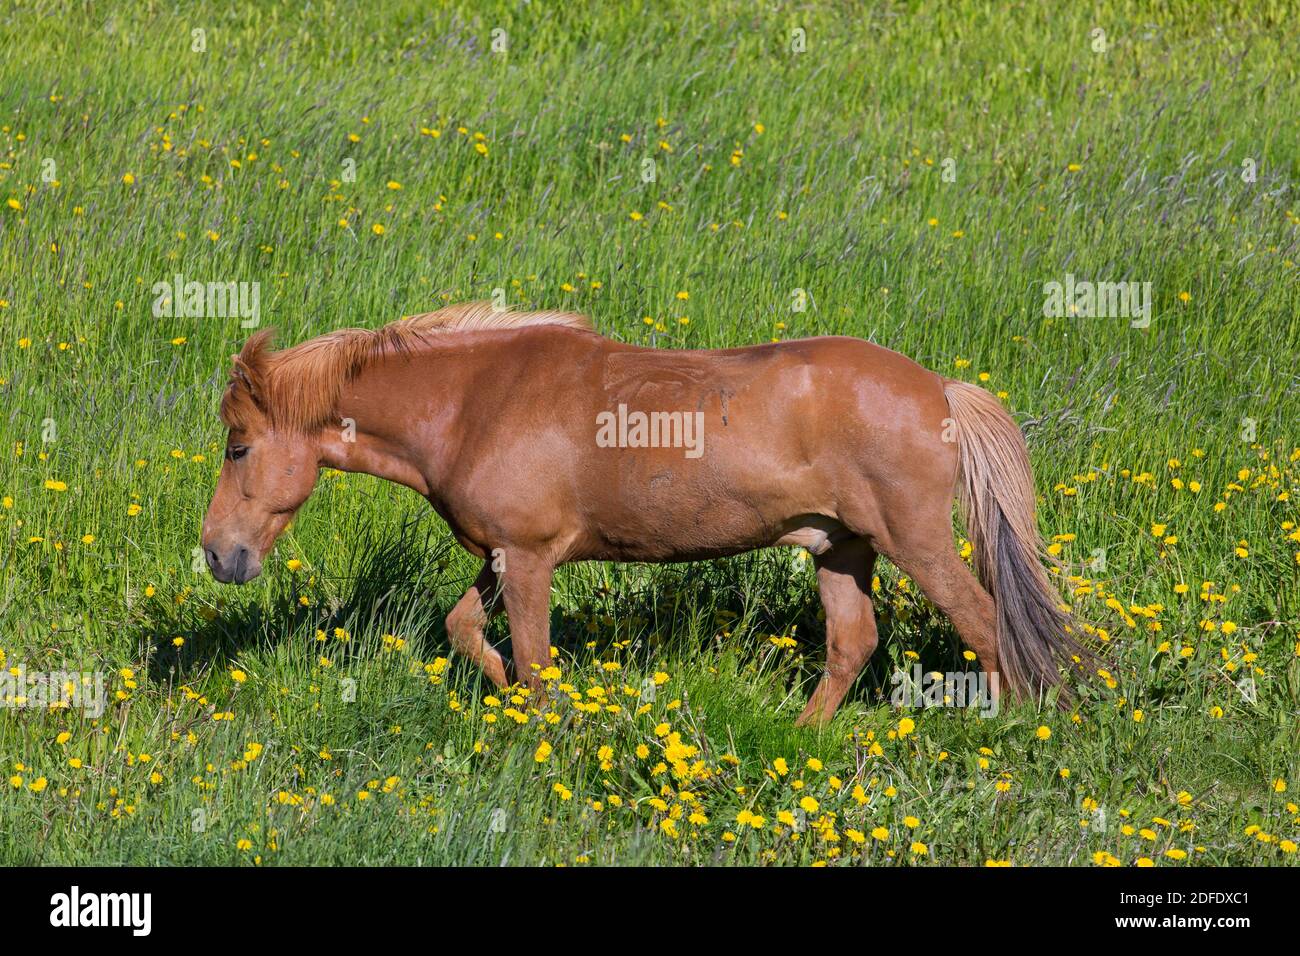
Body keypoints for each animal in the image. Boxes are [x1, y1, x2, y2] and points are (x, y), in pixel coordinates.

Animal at [201, 302, 1082, 725]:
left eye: (238, 447)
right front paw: (509, 701)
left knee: (984, 622)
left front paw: (544, 733)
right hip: (841, 548)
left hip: (915, 542)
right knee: (852, 643)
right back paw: (802, 734)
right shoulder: (503, 556)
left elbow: (536, 662)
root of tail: (940, 389)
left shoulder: (528, 558)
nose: (217, 554)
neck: (475, 402)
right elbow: (467, 629)